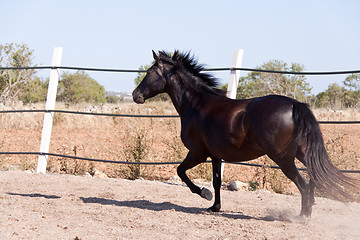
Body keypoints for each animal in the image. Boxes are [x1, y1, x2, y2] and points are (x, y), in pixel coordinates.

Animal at [134, 50, 358, 218]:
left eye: (150, 72)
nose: (136, 95)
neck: (196, 105)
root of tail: (295, 105)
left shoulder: (198, 152)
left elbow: (181, 171)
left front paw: (204, 194)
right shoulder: (215, 155)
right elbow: (217, 181)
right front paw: (214, 207)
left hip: (283, 158)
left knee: (303, 184)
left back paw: (302, 217)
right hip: (301, 153)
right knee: (311, 182)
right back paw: (307, 212)